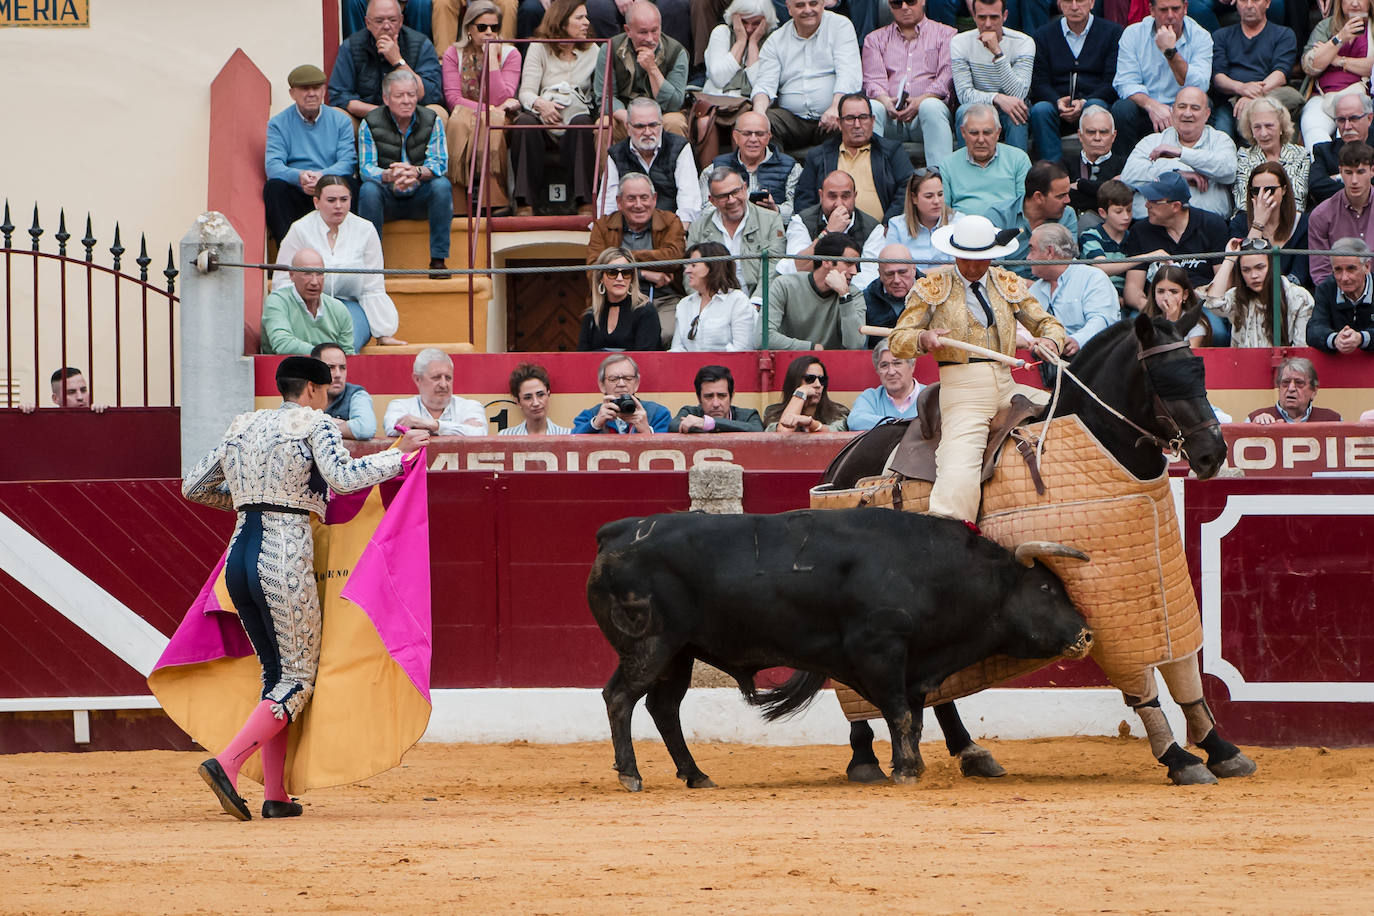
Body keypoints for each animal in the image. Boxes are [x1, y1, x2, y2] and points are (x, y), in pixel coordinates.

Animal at [585, 505, 1088, 791]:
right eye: (1046, 588)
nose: (1085, 635)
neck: (932, 570)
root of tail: (617, 532)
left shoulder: (911, 664)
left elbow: (914, 716)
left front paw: (911, 764)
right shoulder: (880, 650)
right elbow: (899, 713)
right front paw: (906, 771)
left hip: (680, 653)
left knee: (663, 707)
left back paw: (696, 775)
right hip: (650, 645)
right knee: (620, 698)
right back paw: (631, 775)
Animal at [818, 307, 1253, 791]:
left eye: (1198, 370)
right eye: (1163, 377)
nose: (1213, 454)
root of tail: (846, 455)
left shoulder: (1158, 581)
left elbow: (1183, 667)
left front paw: (1220, 749)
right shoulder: (1100, 591)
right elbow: (1138, 674)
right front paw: (1178, 757)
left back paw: (968, 751)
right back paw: (865, 758)